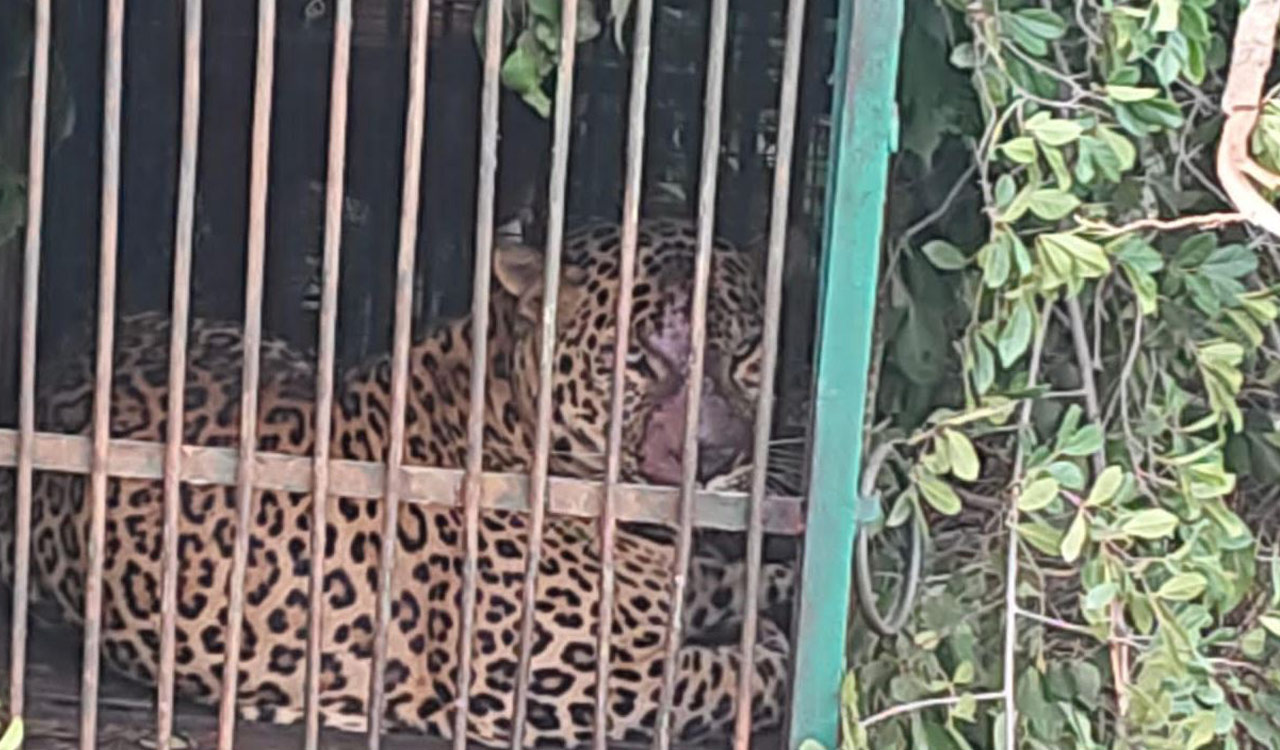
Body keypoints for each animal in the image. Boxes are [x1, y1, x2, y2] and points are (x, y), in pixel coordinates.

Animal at [0, 218, 798, 748]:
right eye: (637, 362)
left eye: (746, 352)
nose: (714, 456)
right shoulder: (557, 680)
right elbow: (728, 677)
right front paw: (766, 643)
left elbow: (748, 582)